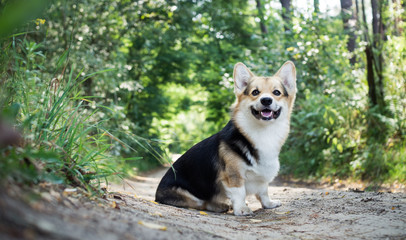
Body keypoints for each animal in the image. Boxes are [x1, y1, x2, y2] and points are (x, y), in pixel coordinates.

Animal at [155, 61, 294, 216]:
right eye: (255, 92)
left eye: (276, 92)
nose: (266, 100)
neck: (264, 132)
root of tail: (156, 195)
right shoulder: (233, 176)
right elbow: (239, 192)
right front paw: (241, 209)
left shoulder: (262, 177)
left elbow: (263, 191)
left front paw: (268, 204)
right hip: (186, 194)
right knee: (202, 203)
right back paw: (220, 206)